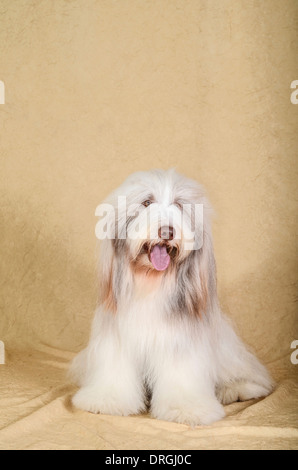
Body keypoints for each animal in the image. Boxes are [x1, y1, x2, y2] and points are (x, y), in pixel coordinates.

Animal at [70, 170, 274, 426]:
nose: (167, 232)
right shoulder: (117, 339)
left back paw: (238, 388)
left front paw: (187, 409)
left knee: (245, 372)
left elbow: (181, 376)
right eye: (147, 202)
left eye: (178, 205)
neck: (151, 283)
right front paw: (107, 400)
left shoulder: (180, 342)